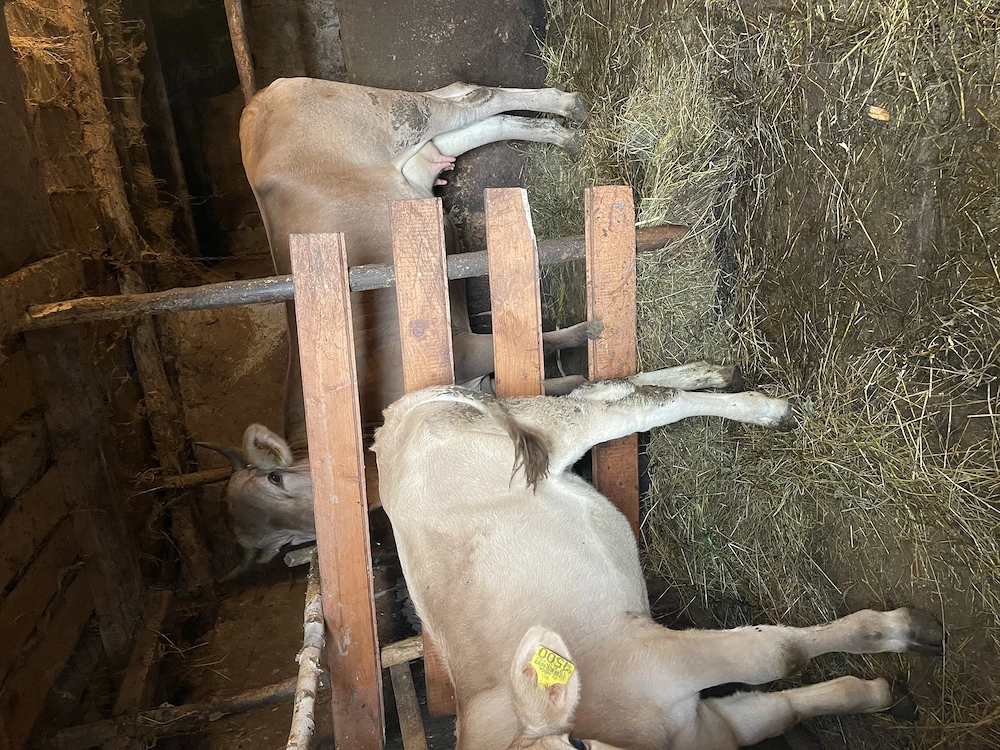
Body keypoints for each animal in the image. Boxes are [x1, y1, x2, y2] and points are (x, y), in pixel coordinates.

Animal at [201, 79, 597, 574]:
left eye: (277, 476)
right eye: (289, 543)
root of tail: (258, 104)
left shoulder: (462, 346)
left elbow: (539, 343)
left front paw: (587, 335)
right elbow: (555, 388)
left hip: (394, 117)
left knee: (473, 97)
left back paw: (570, 115)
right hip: (412, 158)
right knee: (462, 119)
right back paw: (560, 131)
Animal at [372, 361, 945, 750]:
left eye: (576, 745)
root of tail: (394, 417)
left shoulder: (661, 656)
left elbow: (778, 654)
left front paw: (905, 631)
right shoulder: (712, 722)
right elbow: (784, 701)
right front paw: (881, 691)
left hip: (550, 431)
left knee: (638, 404)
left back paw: (764, 408)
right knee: (613, 391)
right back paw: (707, 373)